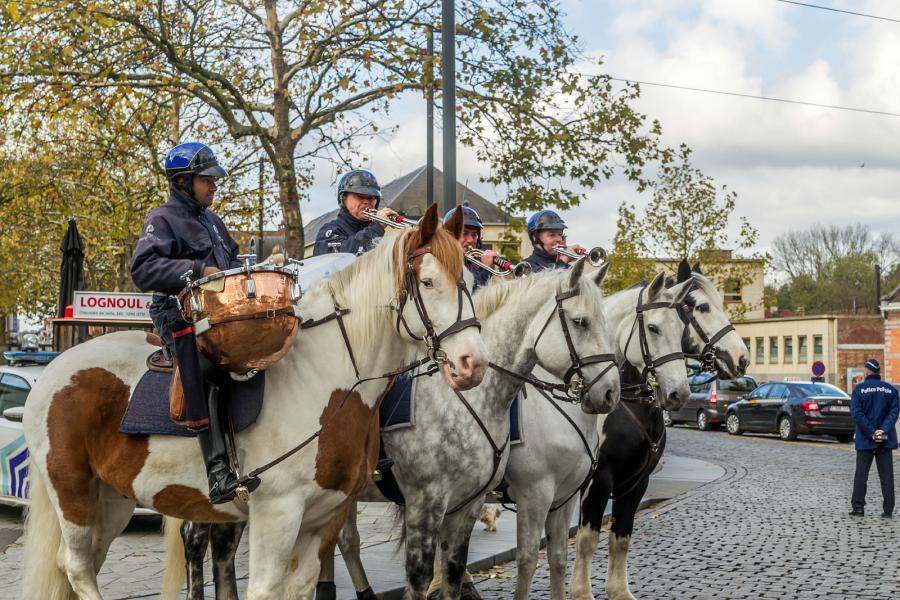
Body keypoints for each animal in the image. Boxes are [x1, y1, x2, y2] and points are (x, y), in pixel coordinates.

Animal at [19, 203, 486, 600]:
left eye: (465, 281)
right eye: (428, 282)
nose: (472, 363)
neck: (328, 382)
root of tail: (55, 369)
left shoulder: (325, 516)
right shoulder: (277, 513)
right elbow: (264, 589)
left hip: (113, 497)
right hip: (72, 492)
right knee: (76, 567)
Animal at [506, 272, 696, 600]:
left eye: (682, 329)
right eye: (653, 328)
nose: (678, 394)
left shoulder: (636, 482)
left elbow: (621, 536)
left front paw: (618, 590)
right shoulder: (598, 480)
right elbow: (587, 537)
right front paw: (582, 591)